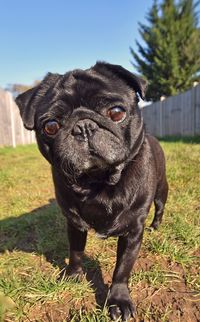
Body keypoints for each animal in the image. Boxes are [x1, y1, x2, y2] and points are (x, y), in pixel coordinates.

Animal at [16, 61, 169, 320]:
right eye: (51, 126)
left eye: (116, 113)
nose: (83, 126)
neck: (98, 182)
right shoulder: (74, 224)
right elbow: (76, 252)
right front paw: (74, 275)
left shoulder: (133, 231)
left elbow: (122, 269)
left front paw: (118, 299)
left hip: (161, 191)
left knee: (159, 208)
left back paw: (156, 225)